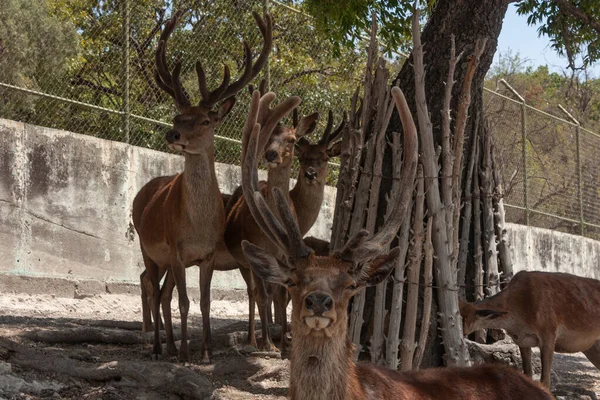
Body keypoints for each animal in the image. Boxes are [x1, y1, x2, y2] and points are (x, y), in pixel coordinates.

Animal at [134, 10, 272, 362]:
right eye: (177, 117)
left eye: (206, 121)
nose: (172, 134)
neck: (196, 226)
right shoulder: (177, 249)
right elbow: (185, 301)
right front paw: (187, 354)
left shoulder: (205, 255)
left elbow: (206, 301)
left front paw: (206, 352)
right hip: (146, 247)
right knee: (152, 287)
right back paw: (158, 347)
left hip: (166, 260)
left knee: (161, 292)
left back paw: (169, 345)